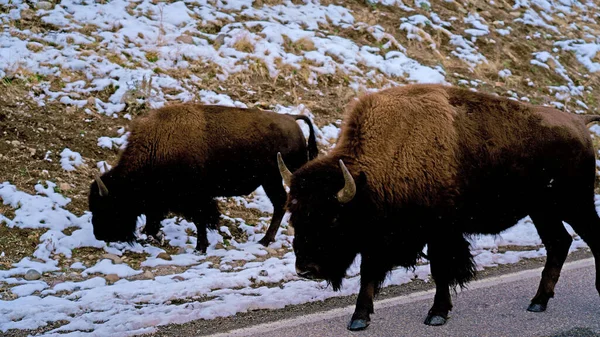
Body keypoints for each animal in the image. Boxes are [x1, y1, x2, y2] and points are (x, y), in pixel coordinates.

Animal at [89, 102, 318, 252]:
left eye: (109, 206)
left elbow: (201, 219)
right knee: (281, 203)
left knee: (280, 203)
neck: (157, 146)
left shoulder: (196, 198)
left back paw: (265, 240)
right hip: (271, 179)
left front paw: (200, 247)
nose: (100, 234)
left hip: (274, 178)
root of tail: (291, 118)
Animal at [276, 83, 600, 328]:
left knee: (588, 240)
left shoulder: (440, 232)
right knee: (559, 243)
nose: (306, 269)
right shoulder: (378, 239)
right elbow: (369, 273)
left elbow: (441, 270)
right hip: (543, 210)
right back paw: (537, 302)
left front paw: (437, 314)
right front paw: (359, 318)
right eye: (294, 217)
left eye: (332, 219)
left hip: (574, 203)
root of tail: (579, 124)